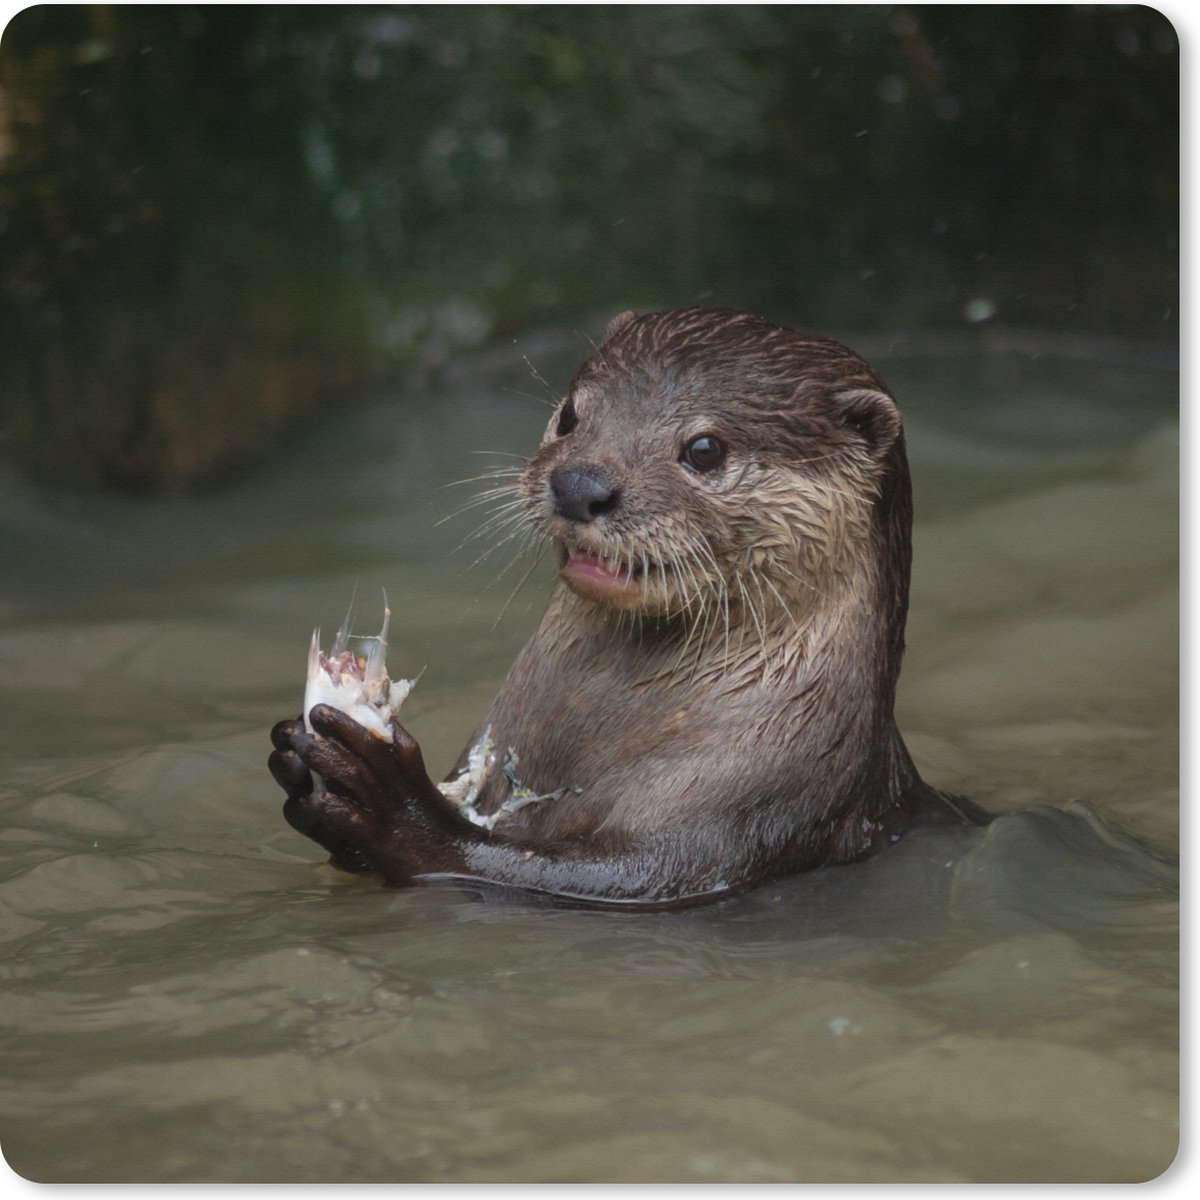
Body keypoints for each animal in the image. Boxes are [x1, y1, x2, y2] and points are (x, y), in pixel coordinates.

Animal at [269, 307, 977, 907]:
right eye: (571, 415)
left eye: (705, 449)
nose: (580, 484)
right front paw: (298, 763)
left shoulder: (754, 805)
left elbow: (606, 874)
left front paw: (393, 805)